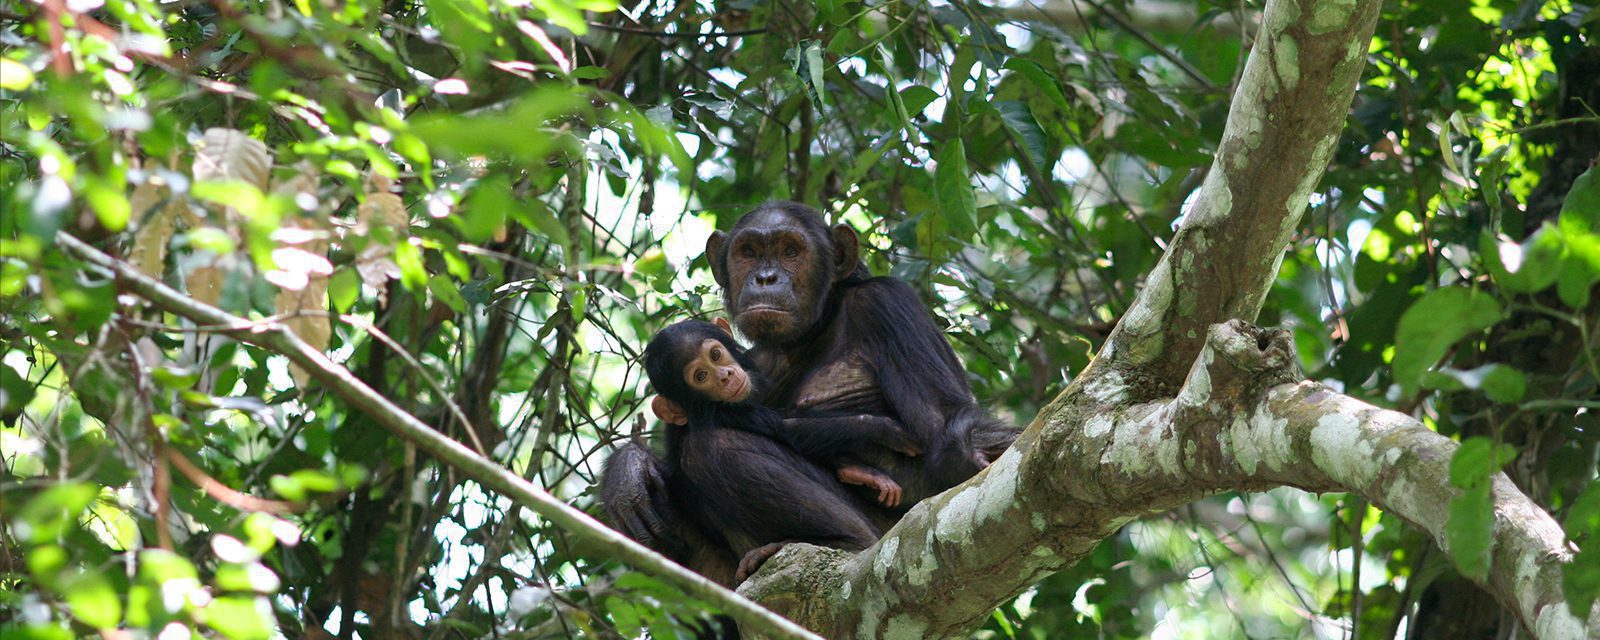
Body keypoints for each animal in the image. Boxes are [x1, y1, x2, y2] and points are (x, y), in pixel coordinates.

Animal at [636, 320, 915, 579]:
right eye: (701, 376)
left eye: (715, 355)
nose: (724, 376)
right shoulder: (722, 412)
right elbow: (782, 425)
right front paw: (881, 430)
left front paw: (856, 468)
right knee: (708, 447)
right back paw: (848, 541)